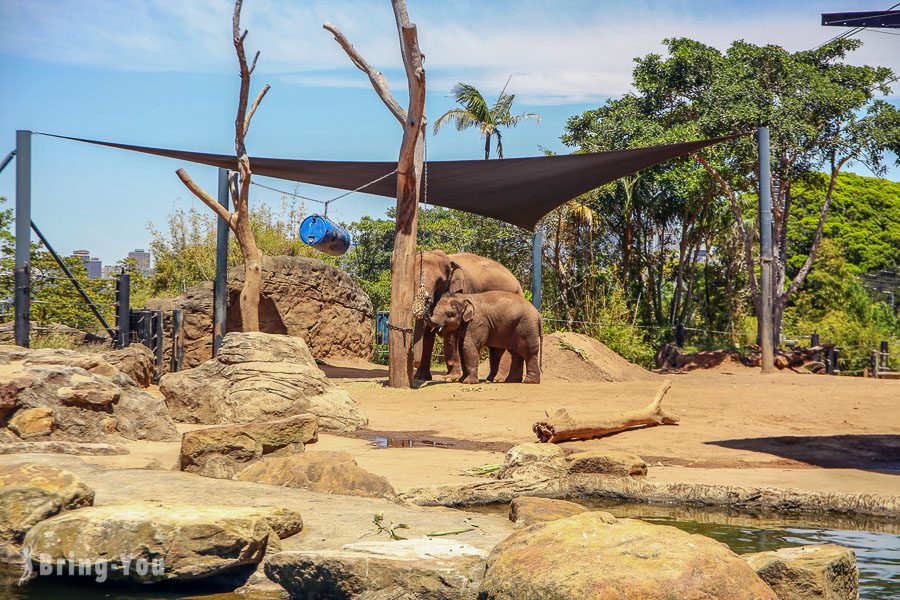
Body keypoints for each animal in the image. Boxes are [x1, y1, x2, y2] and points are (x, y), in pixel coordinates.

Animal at [412, 248, 524, 380]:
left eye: (439, 281)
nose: (427, 299)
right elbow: (427, 333)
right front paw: (420, 377)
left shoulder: (463, 290)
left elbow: (451, 332)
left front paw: (450, 378)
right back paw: (490, 378)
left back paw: (500, 379)